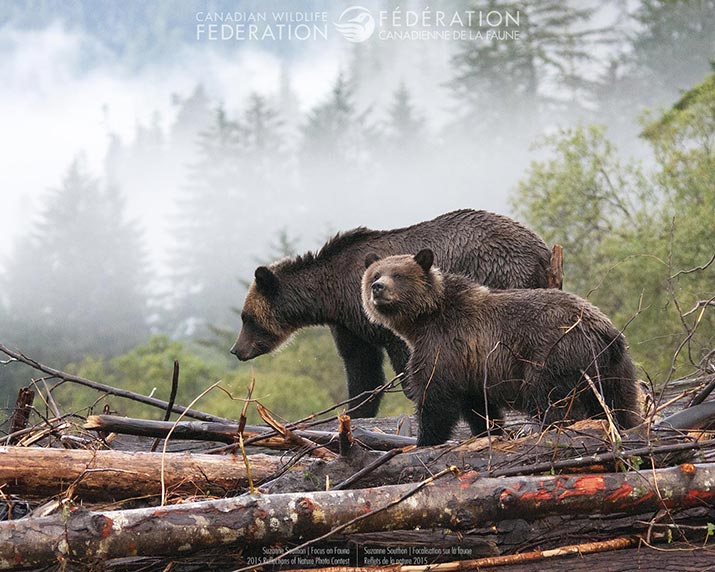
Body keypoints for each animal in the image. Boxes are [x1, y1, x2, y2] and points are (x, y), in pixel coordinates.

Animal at [231, 209, 552, 418]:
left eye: (247, 318)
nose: (237, 350)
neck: (332, 295)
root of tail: (542, 249)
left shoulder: (381, 315)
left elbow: (402, 358)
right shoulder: (350, 324)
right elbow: (362, 370)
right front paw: (356, 413)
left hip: (500, 273)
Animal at [361, 249, 643, 445]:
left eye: (398, 275)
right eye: (375, 274)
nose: (378, 288)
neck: (423, 319)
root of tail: (605, 331)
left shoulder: (444, 345)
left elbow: (435, 397)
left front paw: (425, 440)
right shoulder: (470, 365)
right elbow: (478, 406)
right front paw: (489, 431)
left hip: (554, 354)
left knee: (552, 400)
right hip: (616, 368)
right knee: (620, 402)